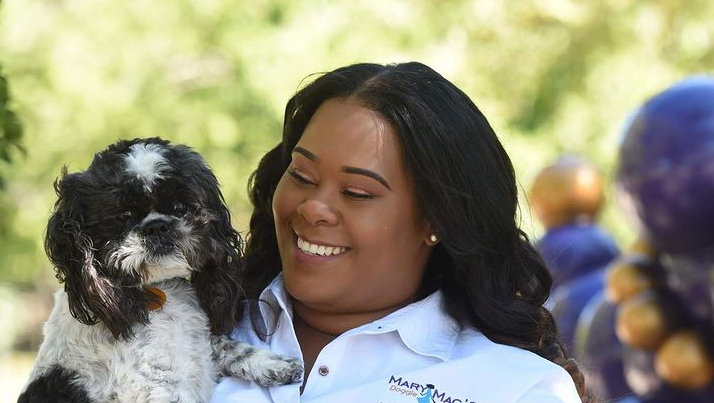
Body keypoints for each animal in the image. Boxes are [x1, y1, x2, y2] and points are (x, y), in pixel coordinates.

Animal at [17, 137, 300, 402]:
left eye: (180, 207)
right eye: (123, 216)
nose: (157, 226)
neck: (156, 292)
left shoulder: (199, 343)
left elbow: (227, 346)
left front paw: (275, 364)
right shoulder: (156, 387)